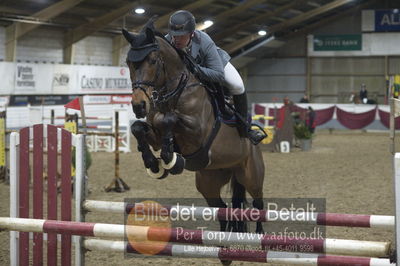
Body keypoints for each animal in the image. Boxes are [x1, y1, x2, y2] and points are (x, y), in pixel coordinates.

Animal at [122, 21, 266, 241]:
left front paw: (169, 157)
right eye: (128, 62)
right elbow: (138, 127)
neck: (174, 91)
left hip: (251, 176)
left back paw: (259, 236)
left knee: (258, 204)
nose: (139, 106)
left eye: (153, 61)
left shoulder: (197, 133)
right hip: (208, 181)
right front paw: (153, 163)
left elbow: (169, 119)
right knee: (222, 209)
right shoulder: (154, 134)